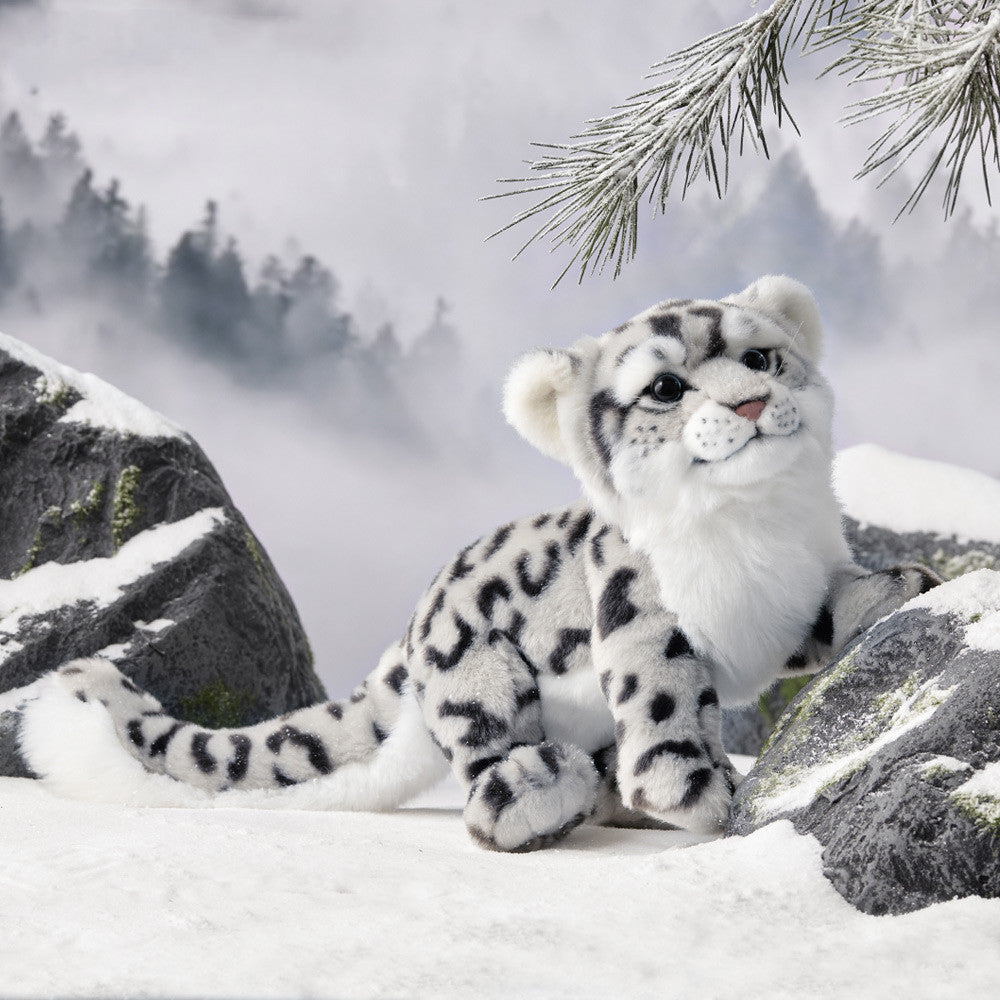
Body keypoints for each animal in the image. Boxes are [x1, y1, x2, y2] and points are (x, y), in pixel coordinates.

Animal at [19, 275, 938, 851]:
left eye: (761, 357)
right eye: (665, 388)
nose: (748, 402)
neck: (755, 533)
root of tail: (413, 628)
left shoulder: (796, 596)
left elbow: (831, 609)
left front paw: (902, 585)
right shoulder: (642, 622)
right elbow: (667, 706)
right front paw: (696, 797)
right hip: (482, 675)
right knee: (488, 773)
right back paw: (543, 794)